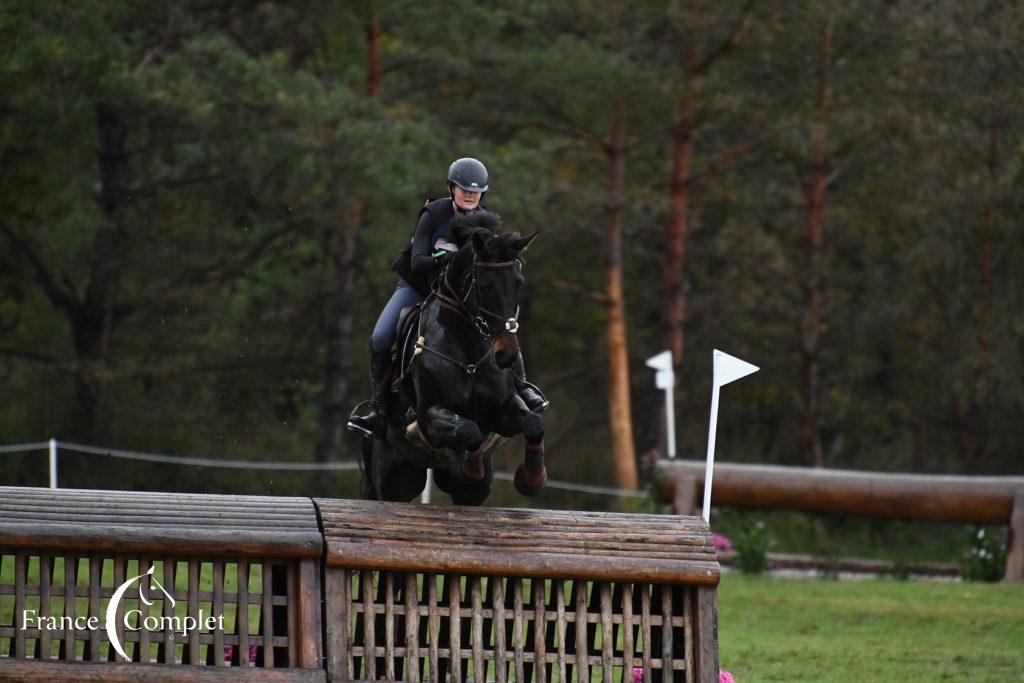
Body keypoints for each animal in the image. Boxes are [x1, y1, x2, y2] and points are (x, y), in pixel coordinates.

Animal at [364, 214, 548, 507]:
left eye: (519, 282)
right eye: (483, 285)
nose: (506, 355)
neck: (468, 352)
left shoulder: (502, 410)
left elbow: (532, 423)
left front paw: (532, 480)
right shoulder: (428, 419)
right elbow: (469, 430)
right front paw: (469, 465)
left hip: (470, 491)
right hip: (392, 480)